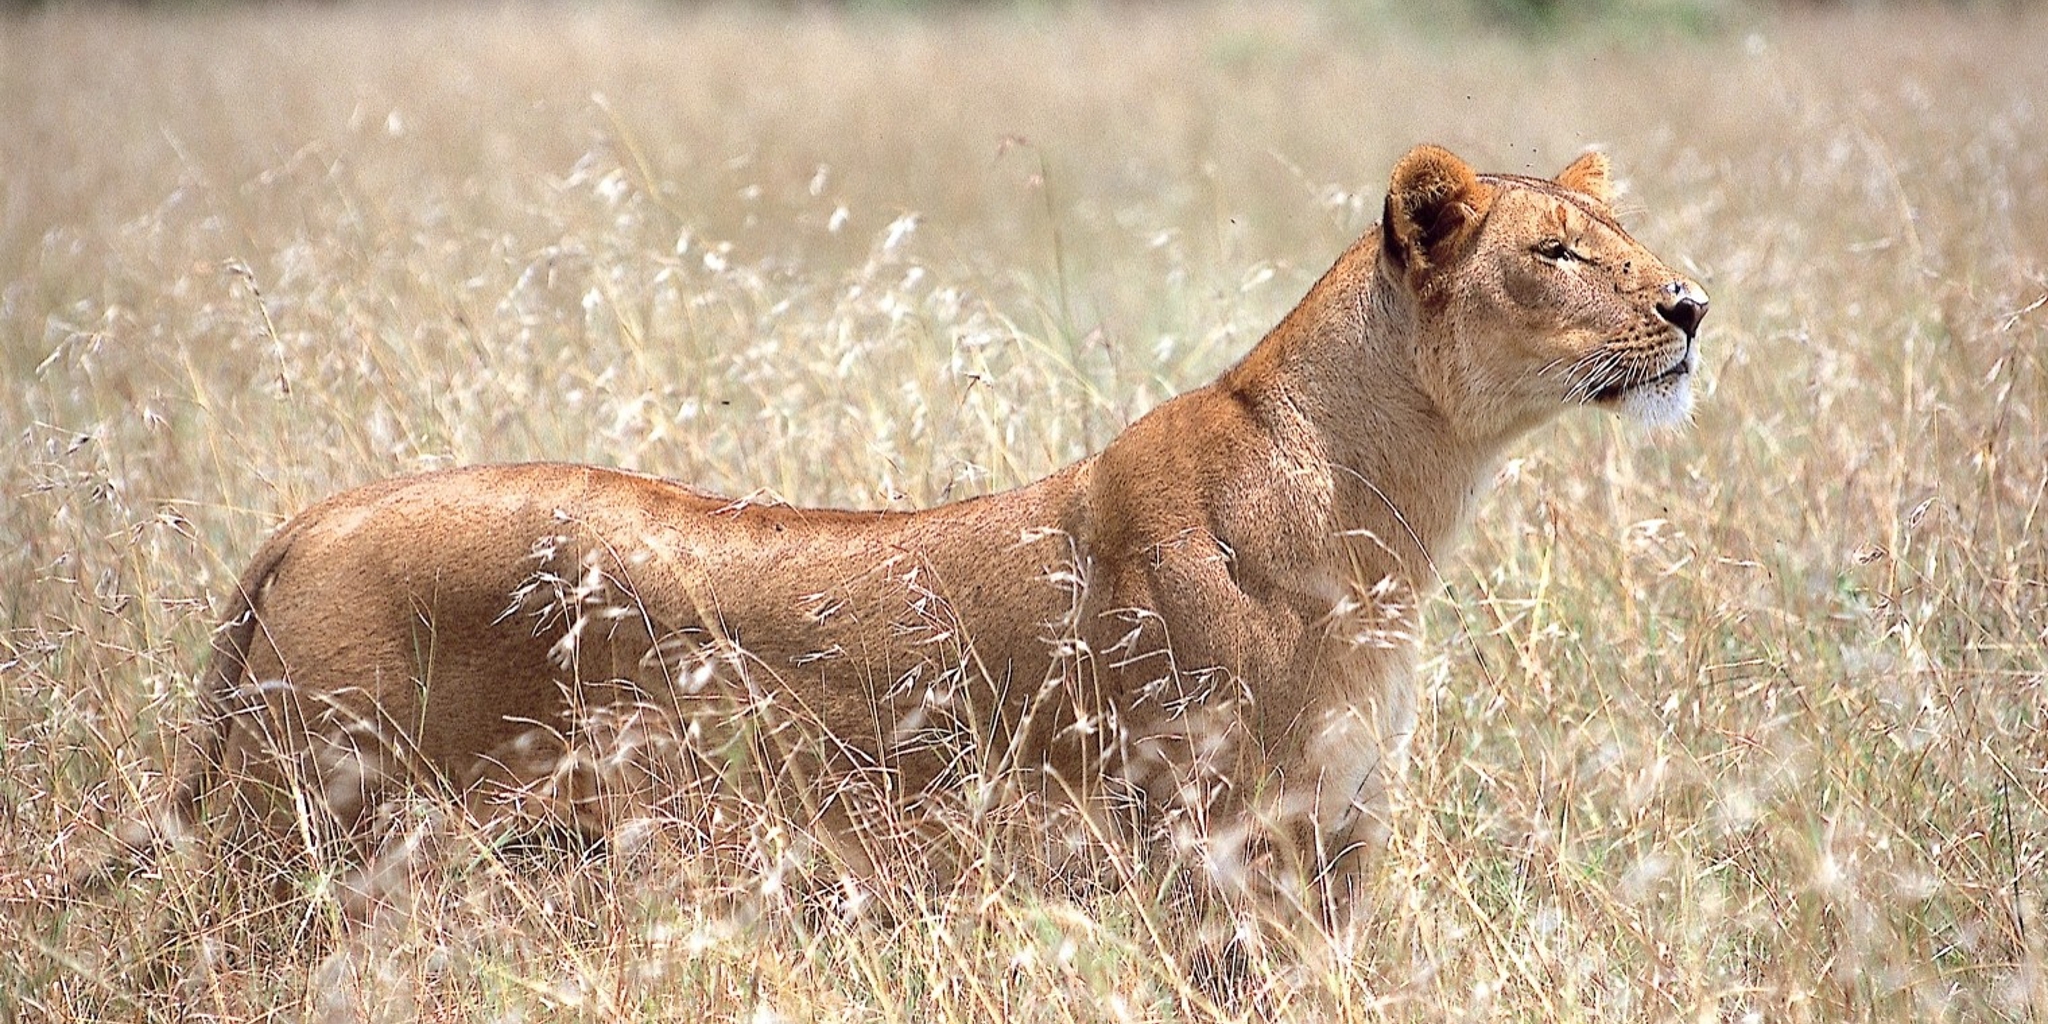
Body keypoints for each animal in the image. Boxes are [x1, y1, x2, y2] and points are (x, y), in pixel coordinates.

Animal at [109, 144, 1706, 924]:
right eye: (1555, 254)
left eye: (1627, 243)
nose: (1691, 305)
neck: (1393, 504)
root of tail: (321, 512)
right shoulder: (1212, 841)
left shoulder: (1339, 834)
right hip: (292, 838)